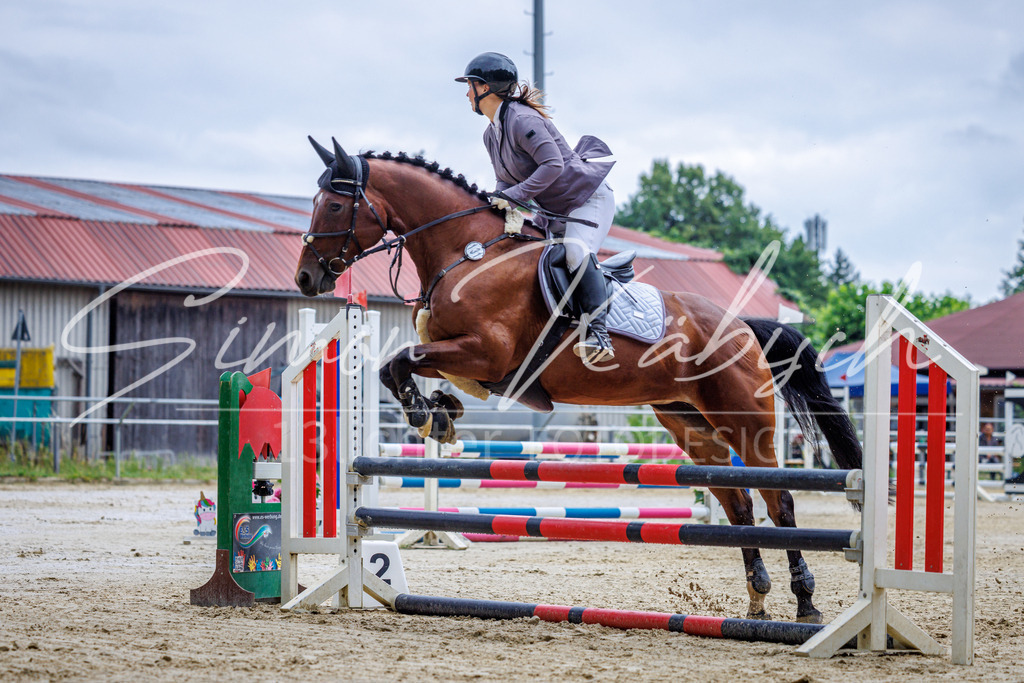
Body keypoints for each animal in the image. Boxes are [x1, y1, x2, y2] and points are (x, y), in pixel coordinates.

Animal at [294, 137, 863, 625]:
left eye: (336, 206)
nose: (306, 278)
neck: (471, 251)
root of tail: (741, 323)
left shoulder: (486, 353)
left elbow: (401, 360)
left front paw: (425, 412)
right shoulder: (465, 358)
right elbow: (399, 365)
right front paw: (439, 413)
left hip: (745, 421)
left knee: (779, 500)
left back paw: (805, 603)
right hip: (692, 425)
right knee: (739, 503)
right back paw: (757, 599)